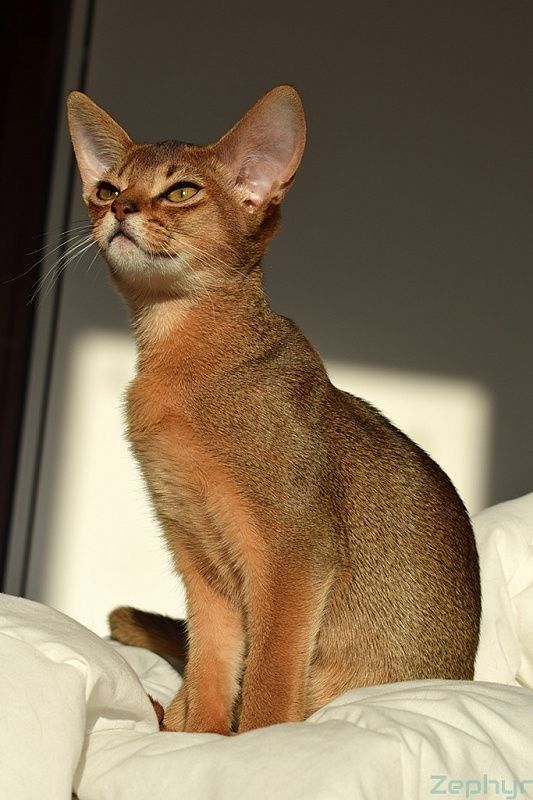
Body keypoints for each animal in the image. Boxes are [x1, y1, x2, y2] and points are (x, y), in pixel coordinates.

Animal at [67, 84, 482, 736]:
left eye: (181, 190)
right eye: (108, 188)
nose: (121, 210)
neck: (186, 365)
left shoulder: (293, 555)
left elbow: (266, 680)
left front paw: (251, 742)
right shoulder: (200, 564)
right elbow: (209, 668)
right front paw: (197, 737)